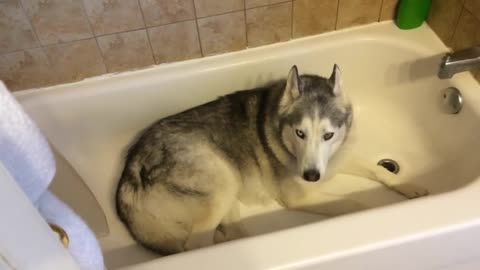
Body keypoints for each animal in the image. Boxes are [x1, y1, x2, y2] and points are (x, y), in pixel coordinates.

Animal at [116, 64, 428, 254]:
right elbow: (353, 202)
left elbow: (380, 171)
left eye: (328, 135)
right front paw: (369, 210)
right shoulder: (300, 198)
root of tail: (130, 172)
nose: (311, 176)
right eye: (300, 133)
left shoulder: (337, 158)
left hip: (227, 195)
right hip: (222, 182)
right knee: (197, 244)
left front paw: (409, 186)